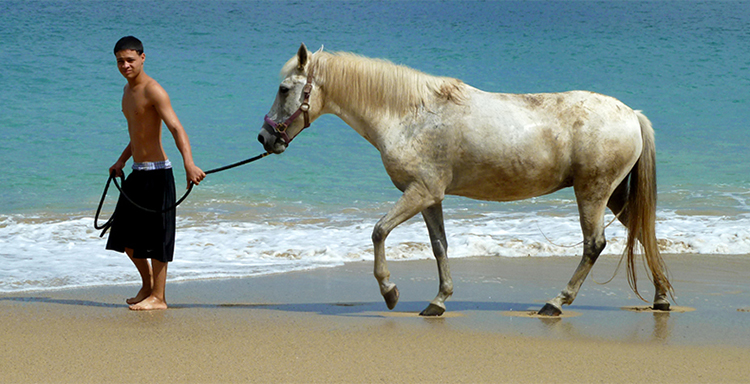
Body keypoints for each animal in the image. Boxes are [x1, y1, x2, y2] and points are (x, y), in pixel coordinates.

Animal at [260, 43, 676, 316]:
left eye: (284, 89)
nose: (265, 138)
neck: (411, 114)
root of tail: (631, 114)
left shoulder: (419, 192)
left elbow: (378, 232)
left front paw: (390, 291)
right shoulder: (431, 198)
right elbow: (439, 246)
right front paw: (438, 300)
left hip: (592, 192)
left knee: (594, 244)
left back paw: (556, 302)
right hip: (613, 195)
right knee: (642, 232)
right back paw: (660, 297)